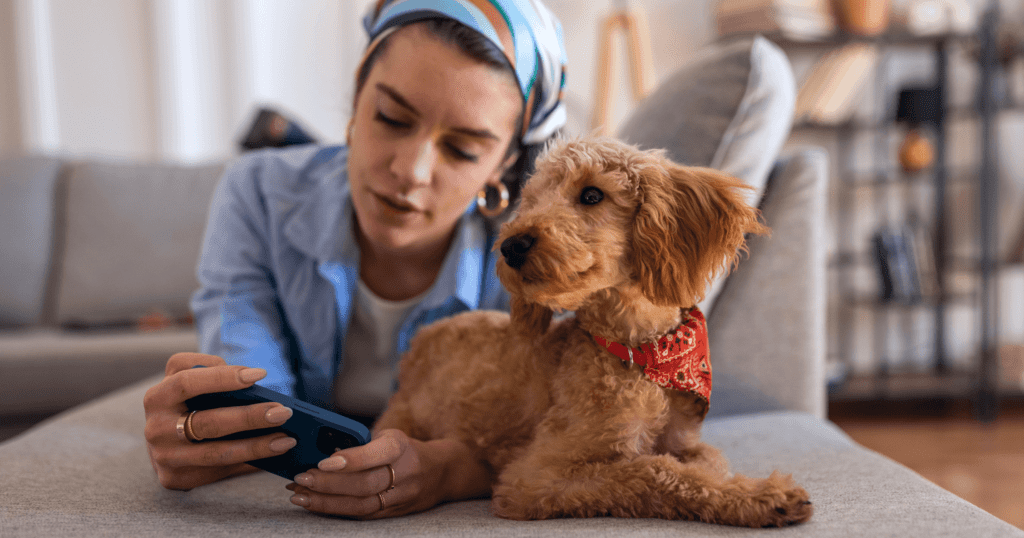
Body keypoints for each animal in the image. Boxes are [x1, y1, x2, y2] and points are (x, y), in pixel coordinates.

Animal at [376, 136, 815, 524]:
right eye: (531, 202)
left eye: (592, 195)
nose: (511, 246)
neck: (641, 353)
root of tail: (414, 348)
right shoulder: (535, 476)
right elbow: (651, 471)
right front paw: (763, 495)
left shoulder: (684, 440)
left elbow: (706, 460)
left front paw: (735, 488)